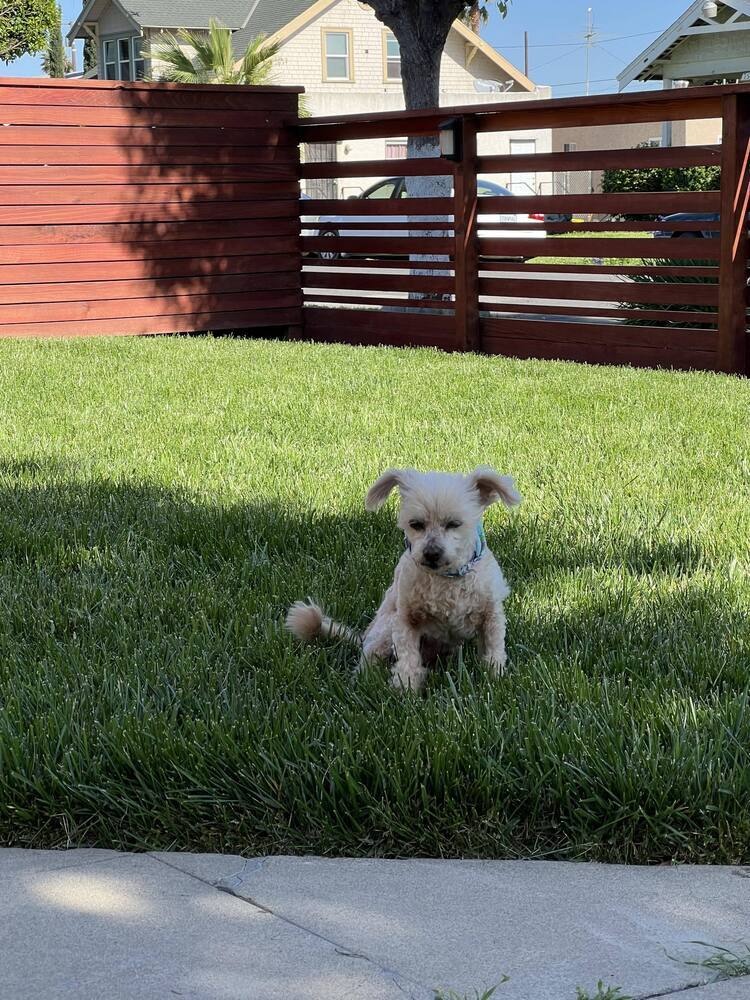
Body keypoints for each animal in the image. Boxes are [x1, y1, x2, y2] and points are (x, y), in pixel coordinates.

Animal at [286, 466, 524, 688]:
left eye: (454, 524)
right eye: (416, 524)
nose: (431, 553)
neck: (446, 578)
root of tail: (363, 636)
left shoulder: (491, 615)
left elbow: (493, 649)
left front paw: (495, 677)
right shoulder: (406, 619)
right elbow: (408, 657)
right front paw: (405, 689)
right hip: (385, 630)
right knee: (368, 659)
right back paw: (364, 681)